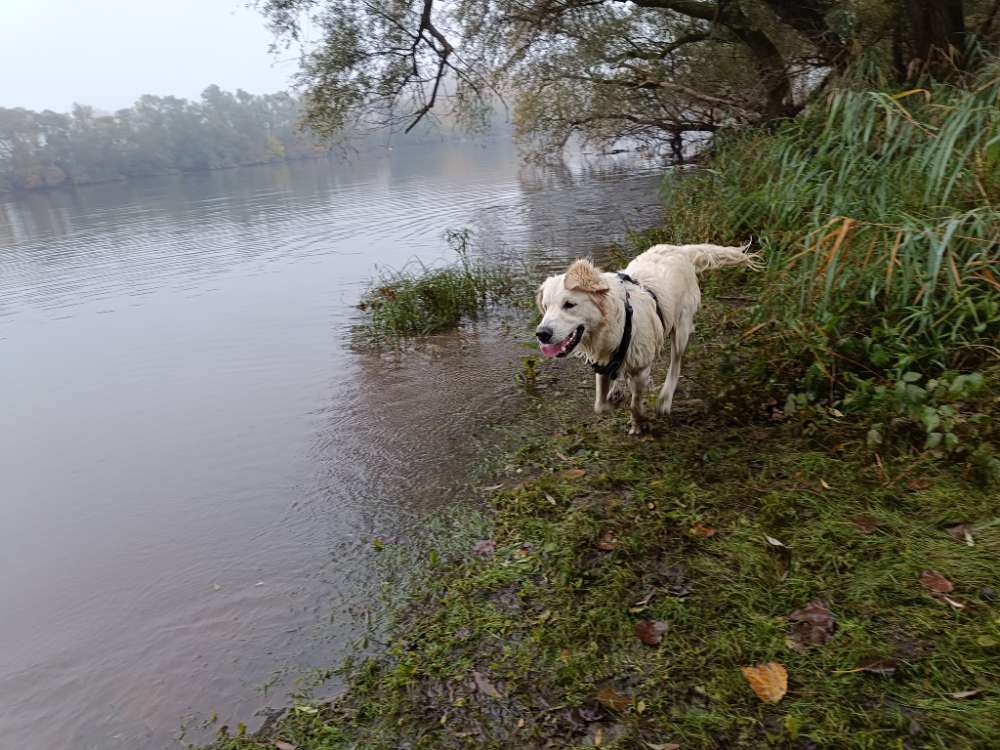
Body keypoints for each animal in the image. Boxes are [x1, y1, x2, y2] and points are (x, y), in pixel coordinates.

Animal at [540, 244, 756, 434]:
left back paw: (665, 399)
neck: (616, 322)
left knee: (676, 363)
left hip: (681, 327)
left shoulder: (641, 368)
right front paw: (615, 401)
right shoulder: (601, 362)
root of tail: (680, 249)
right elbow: (599, 405)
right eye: (546, 306)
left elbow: (635, 404)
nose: (541, 333)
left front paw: (639, 423)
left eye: (569, 304)